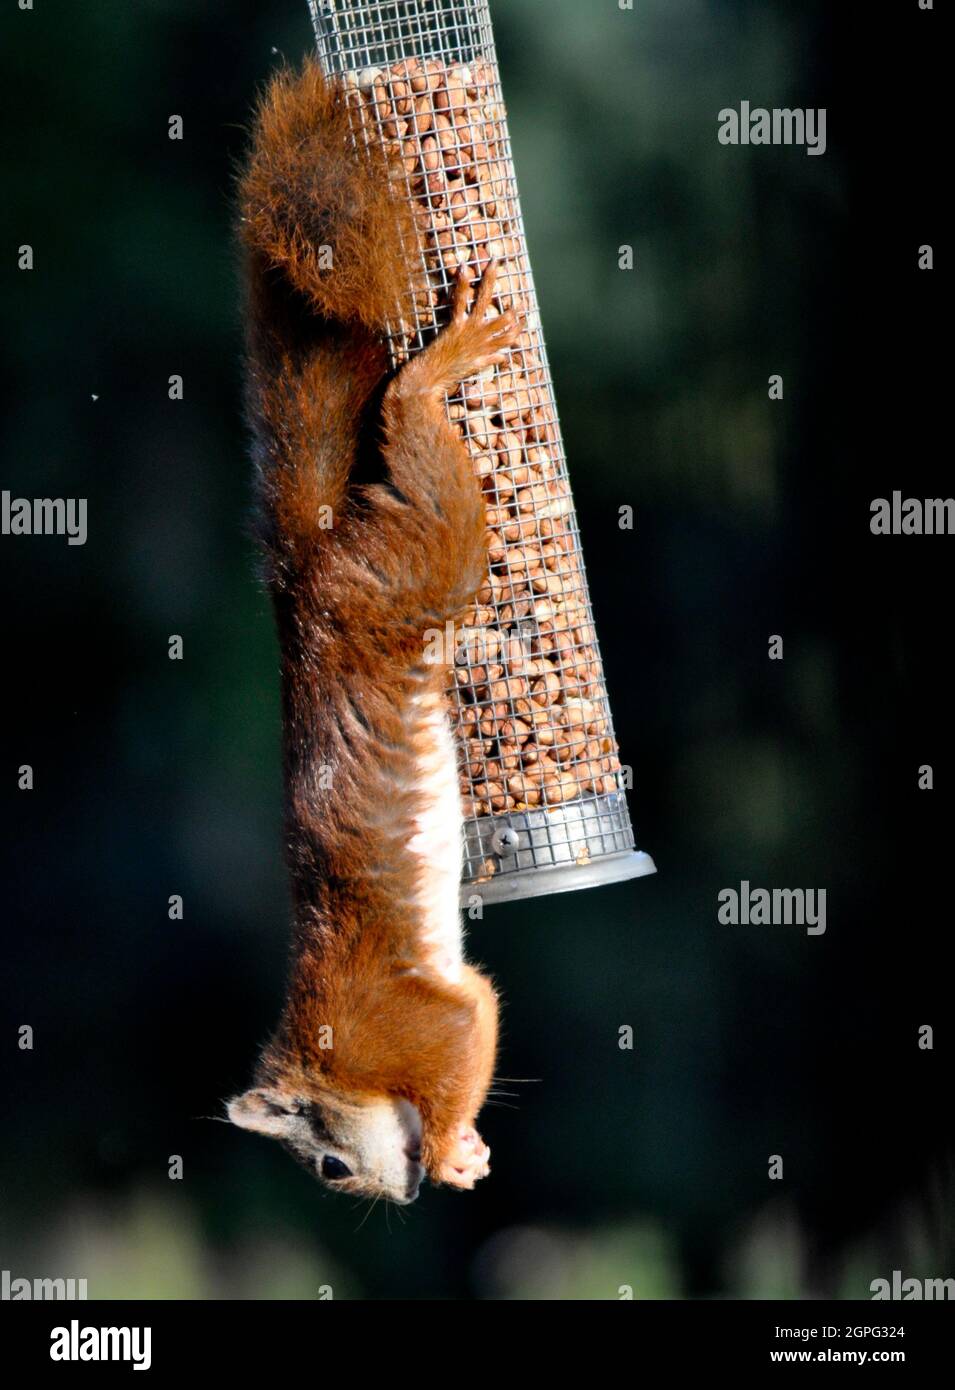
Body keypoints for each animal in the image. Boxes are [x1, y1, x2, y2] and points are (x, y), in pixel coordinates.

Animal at [226, 59, 522, 1200]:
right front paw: (461, 1154)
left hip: (418, 565)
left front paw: (443, 1151)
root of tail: (308, 591)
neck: (326, 1049)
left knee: (407, 421)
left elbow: (466, 1023)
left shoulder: (394, 1020)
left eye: (325, 1166)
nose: (392, 1196)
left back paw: (439, 366)